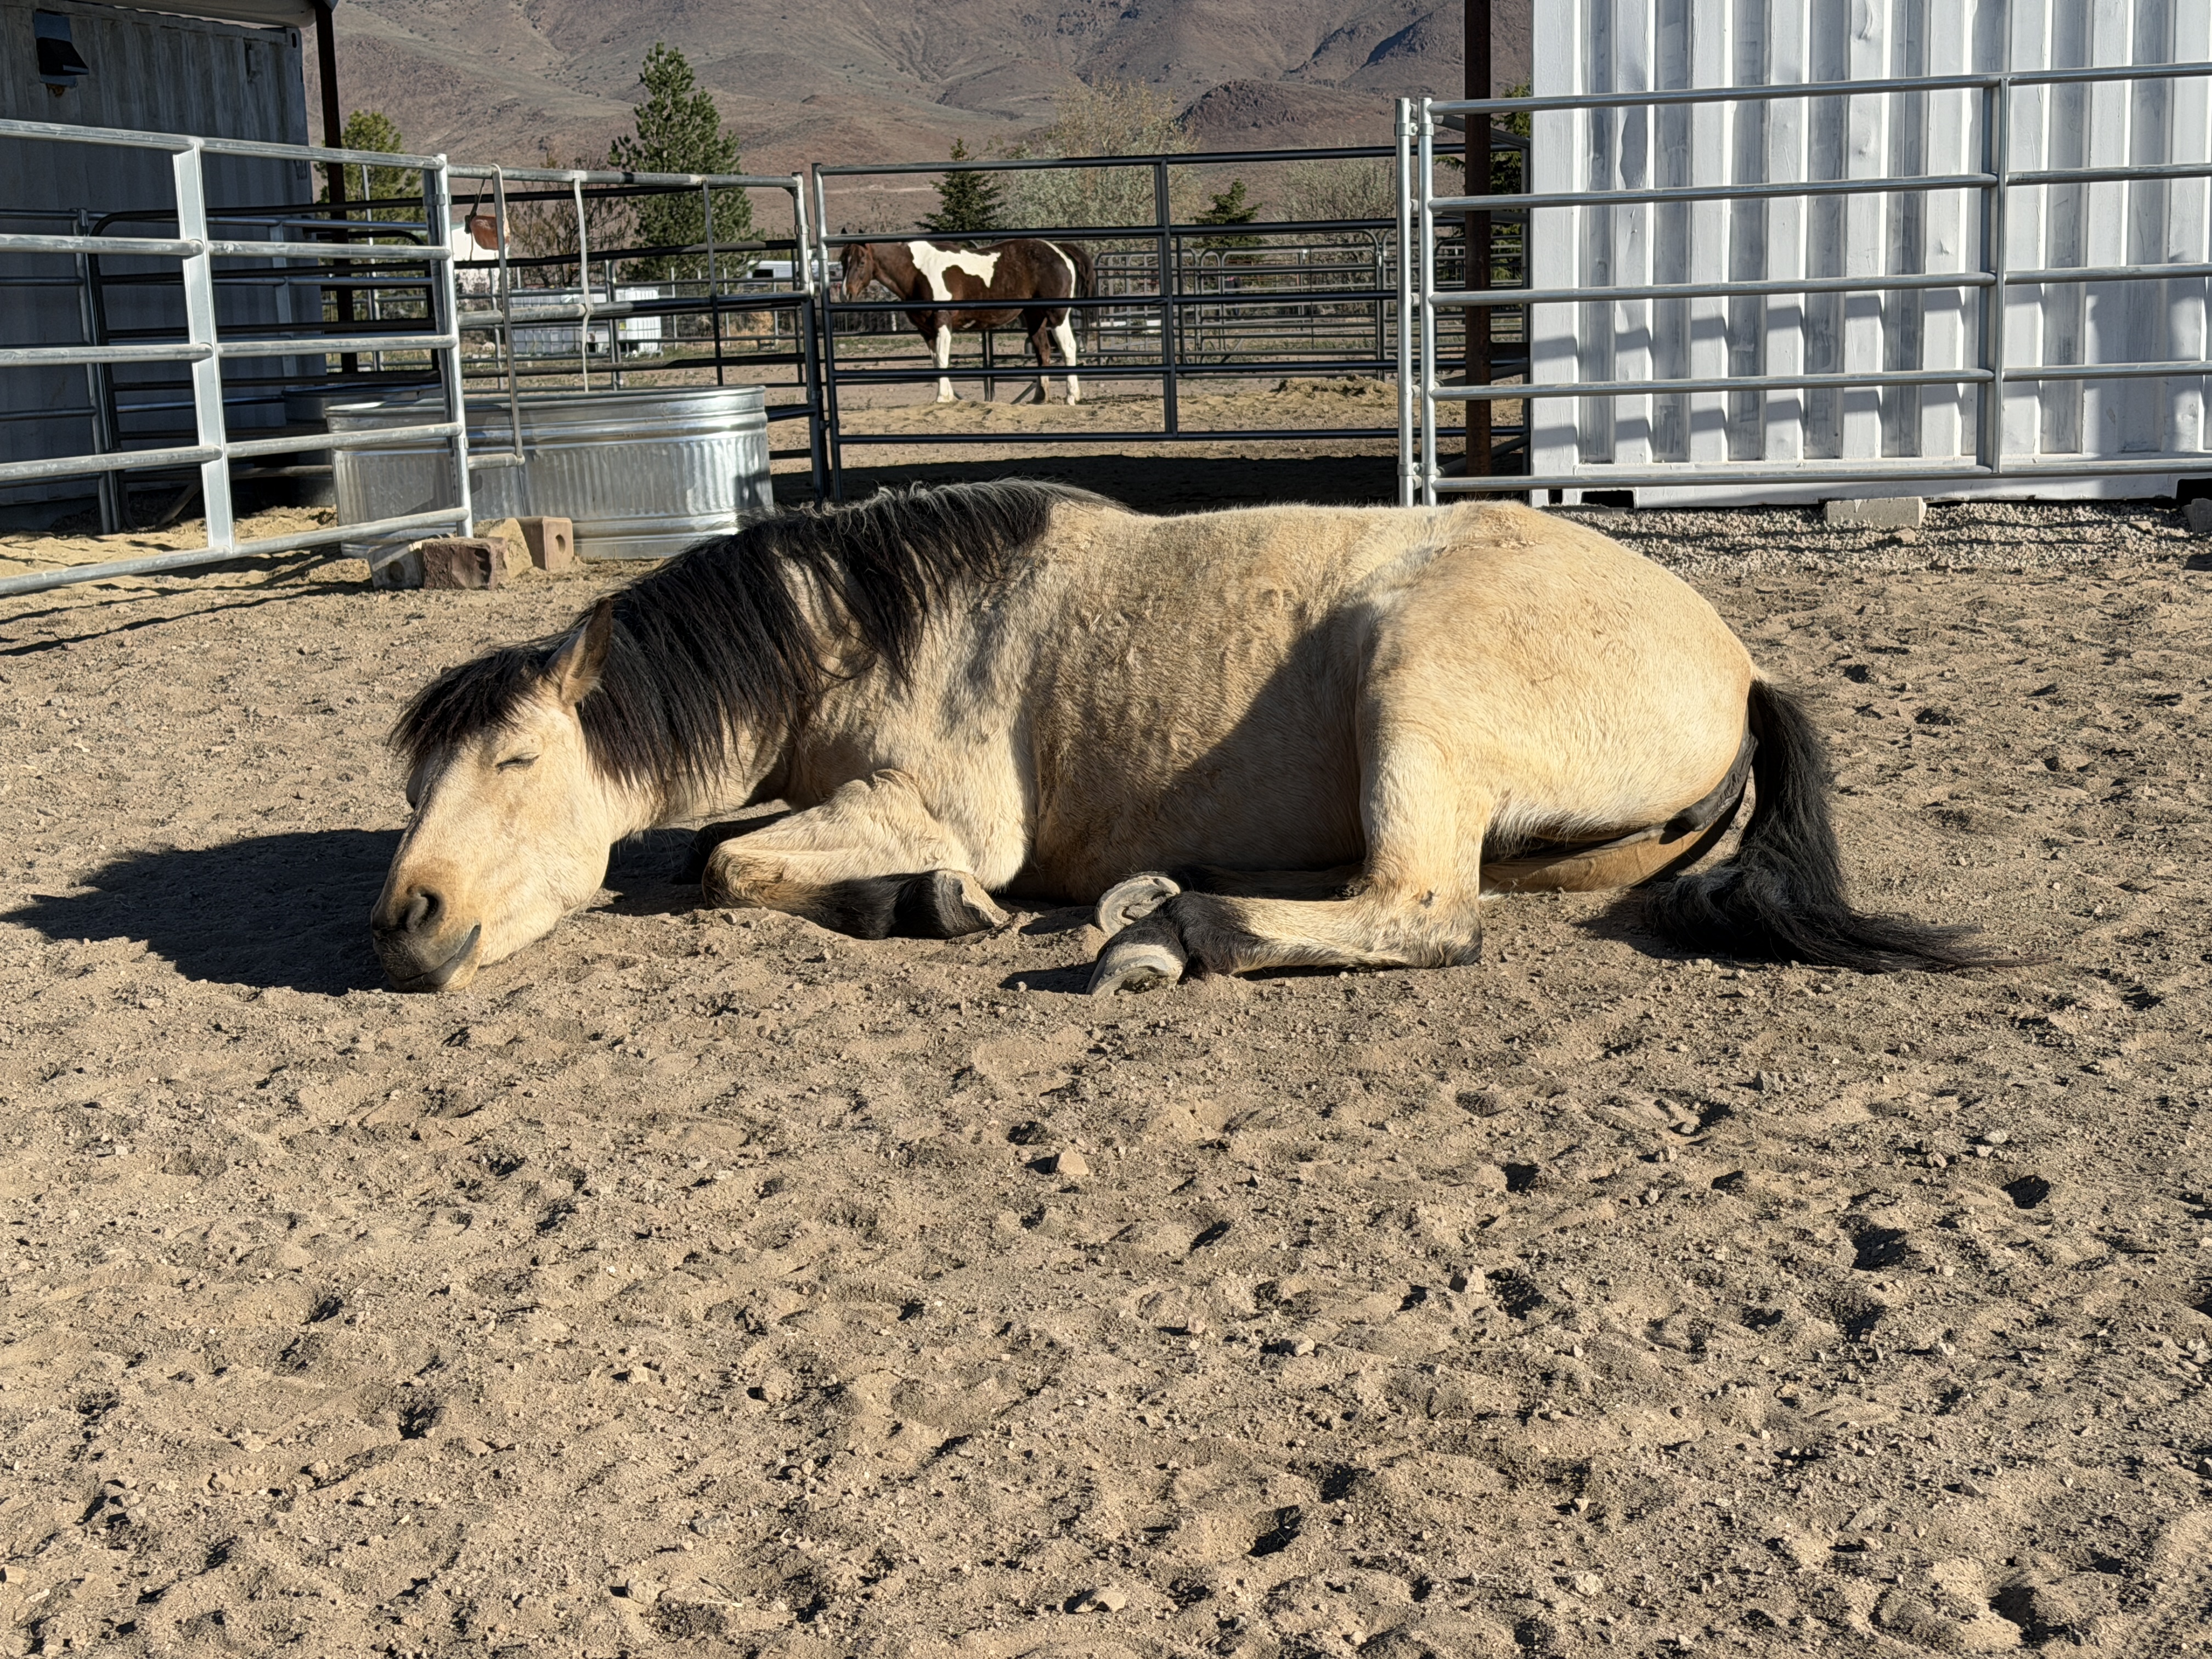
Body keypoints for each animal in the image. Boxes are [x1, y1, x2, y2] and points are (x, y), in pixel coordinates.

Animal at [371, 482, 1995, 995]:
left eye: (515, 764)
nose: (405, 921)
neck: (872, 625)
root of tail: (1740, 665)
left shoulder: (944, 812)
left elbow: (726, 866)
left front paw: (928, 906)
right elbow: (717, 848)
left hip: (1414, 688)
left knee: (1425, 913)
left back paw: (1169, 932)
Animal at [838, 238, 1092, 404]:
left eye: (861, 262)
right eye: (842, 261)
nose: (845, 294)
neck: (918, 272)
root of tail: (1059, 249)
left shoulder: (942, 324)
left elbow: (942, 360)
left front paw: (942, 398)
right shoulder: (926, 331)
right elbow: (936, 362)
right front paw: (948, 397)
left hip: (1057, 314)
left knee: (1068, 347)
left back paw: (1072, 396)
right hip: (1034, 317)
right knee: (1043, 350)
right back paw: (1040, 397)